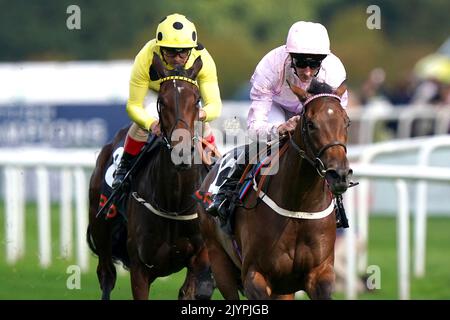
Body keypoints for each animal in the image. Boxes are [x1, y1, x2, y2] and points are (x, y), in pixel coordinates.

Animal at [89, 52, 215, 300]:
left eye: (196, 100)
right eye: (162, 102)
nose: (182, 151)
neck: (174, 204)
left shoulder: (200, 257)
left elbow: (197, 287)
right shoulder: (140, 268)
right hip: (101, 232)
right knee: (106, 276)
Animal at [200, 80, 352, 300]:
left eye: (347, 122)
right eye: (311, 124)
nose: (339, 174)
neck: (299, 206)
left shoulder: (320, 274)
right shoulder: (254, 276)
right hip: (218, 260)